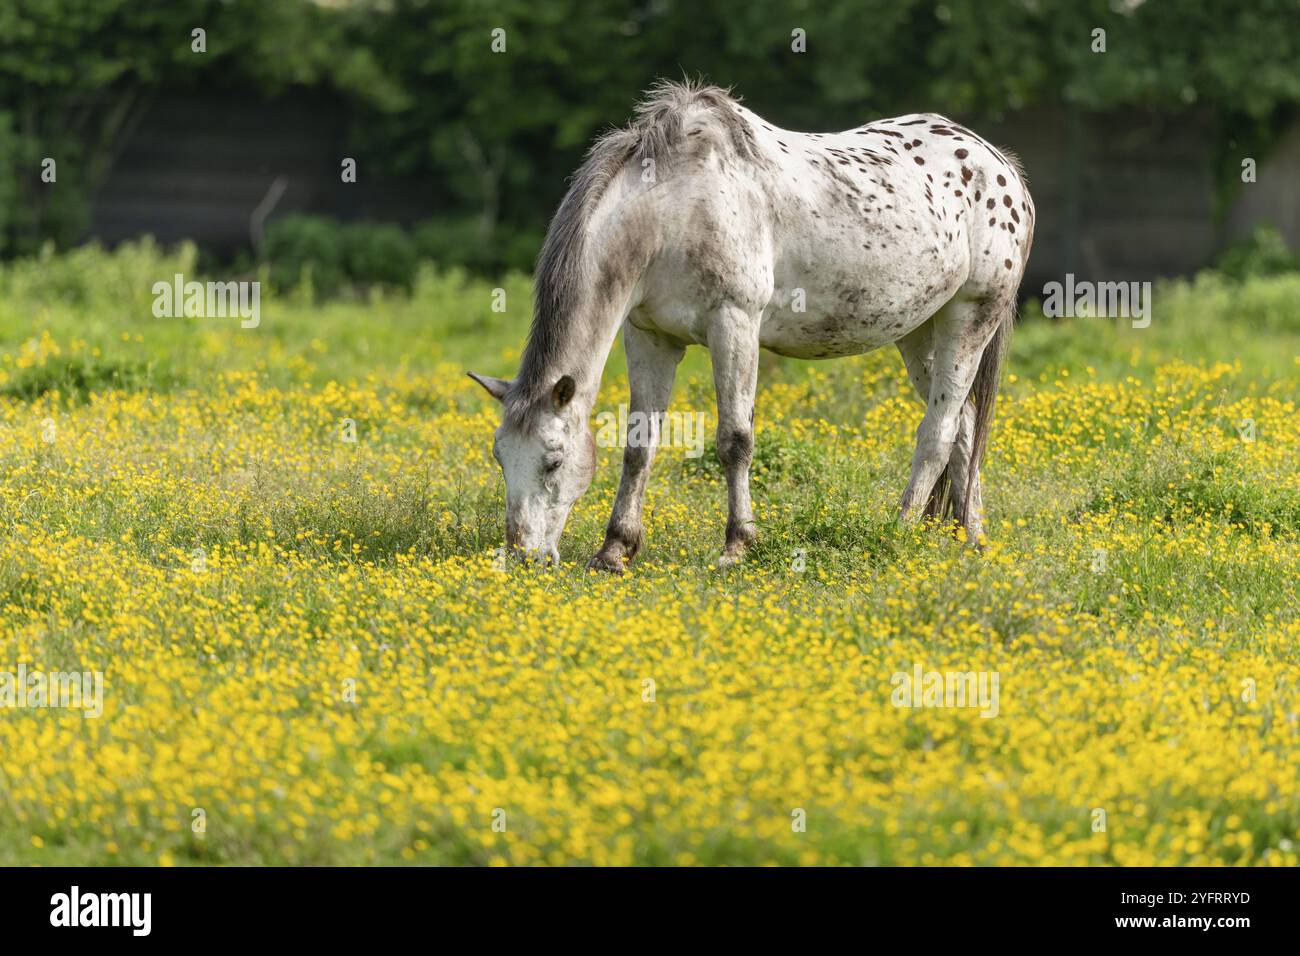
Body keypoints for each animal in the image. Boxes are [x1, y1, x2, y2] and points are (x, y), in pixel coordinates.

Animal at [470, 80, 1034, 567]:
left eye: (553, 461)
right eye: (500, 458)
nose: (524, 556)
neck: (675, 209)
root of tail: (1001, 167)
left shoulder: (734, 324)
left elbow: (735, 441)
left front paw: (737, 545)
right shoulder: (649, 336)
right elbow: (639, 444)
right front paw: (614, 551)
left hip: (971, 316)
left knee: (938, 432)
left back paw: (897, 531)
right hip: (920, 333)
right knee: (964, 426)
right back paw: (972, 539)